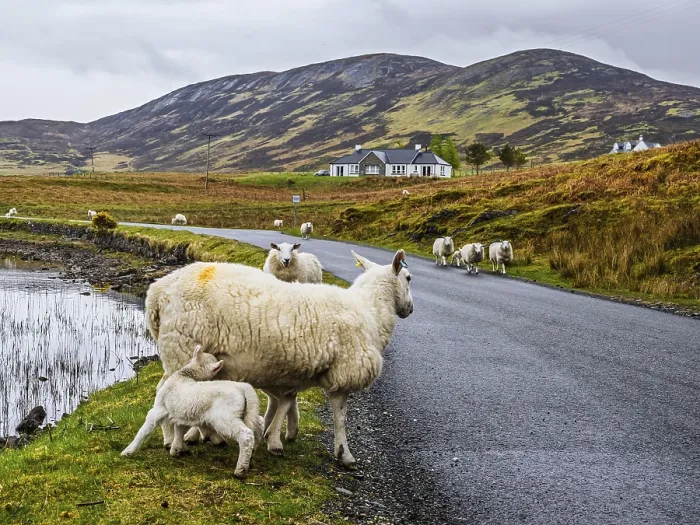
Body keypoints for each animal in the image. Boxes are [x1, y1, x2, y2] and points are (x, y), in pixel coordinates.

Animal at [121, 345, 263, 478]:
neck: (183, 375)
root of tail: (244, 388)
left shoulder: (158, 408)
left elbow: (145, 430)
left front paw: (129, 451)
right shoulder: (181, 413)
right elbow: (179, 429)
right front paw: (177, 449)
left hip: (224, 417)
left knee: (246, 435)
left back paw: (241, 469)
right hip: (246, 412)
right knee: (259, 425)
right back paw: (252, 453)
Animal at [145, 248, 414, 469]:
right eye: (409, 278)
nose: (410, 309)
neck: (371, 310)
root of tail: (156, 292)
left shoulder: (291, 372)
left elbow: (285, 402)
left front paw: (273, 435)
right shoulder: (342, 372)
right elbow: (340, 417)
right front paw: (344, 454)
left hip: (182, 352)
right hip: (182, 349)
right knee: (167, 392)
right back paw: (174, 441)